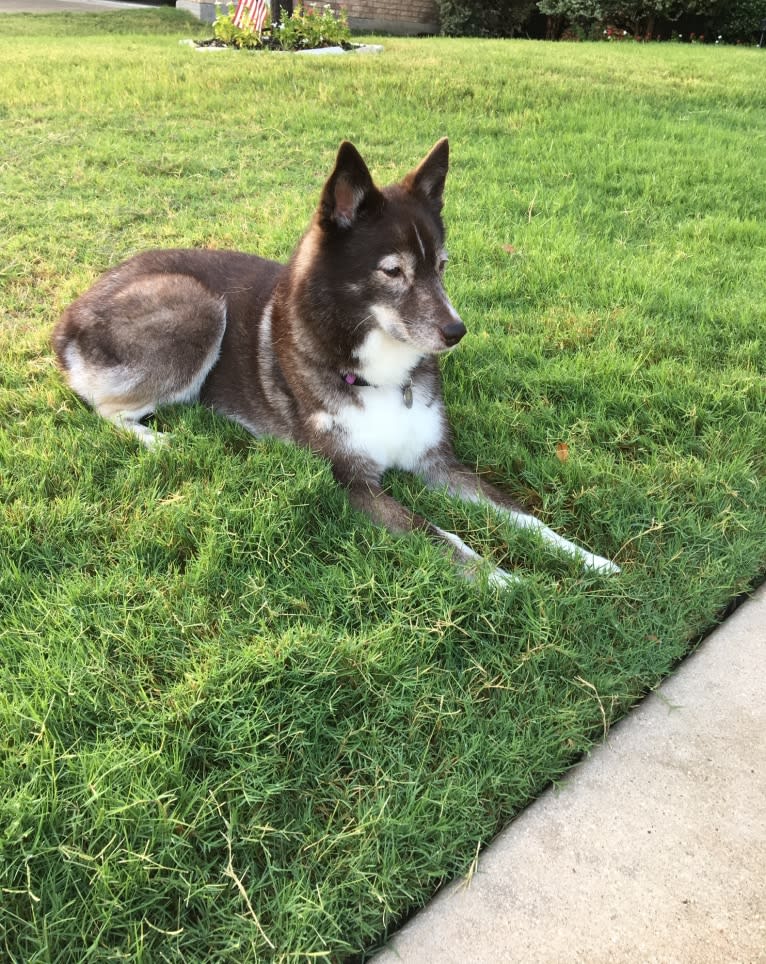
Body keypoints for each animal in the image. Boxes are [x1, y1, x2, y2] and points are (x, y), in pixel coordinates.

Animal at [51, 138, 620, 584]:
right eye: (393, 271)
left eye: (441, 266)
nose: (456, 333)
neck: (380, 374)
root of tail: (71, 314)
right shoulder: (351, 481)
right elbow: (438, 534)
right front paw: (504, 580)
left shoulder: (437, 462)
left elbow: (524, 516)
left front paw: (588, 559)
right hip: (197, 306)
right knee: (104, 405)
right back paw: (159, 441)